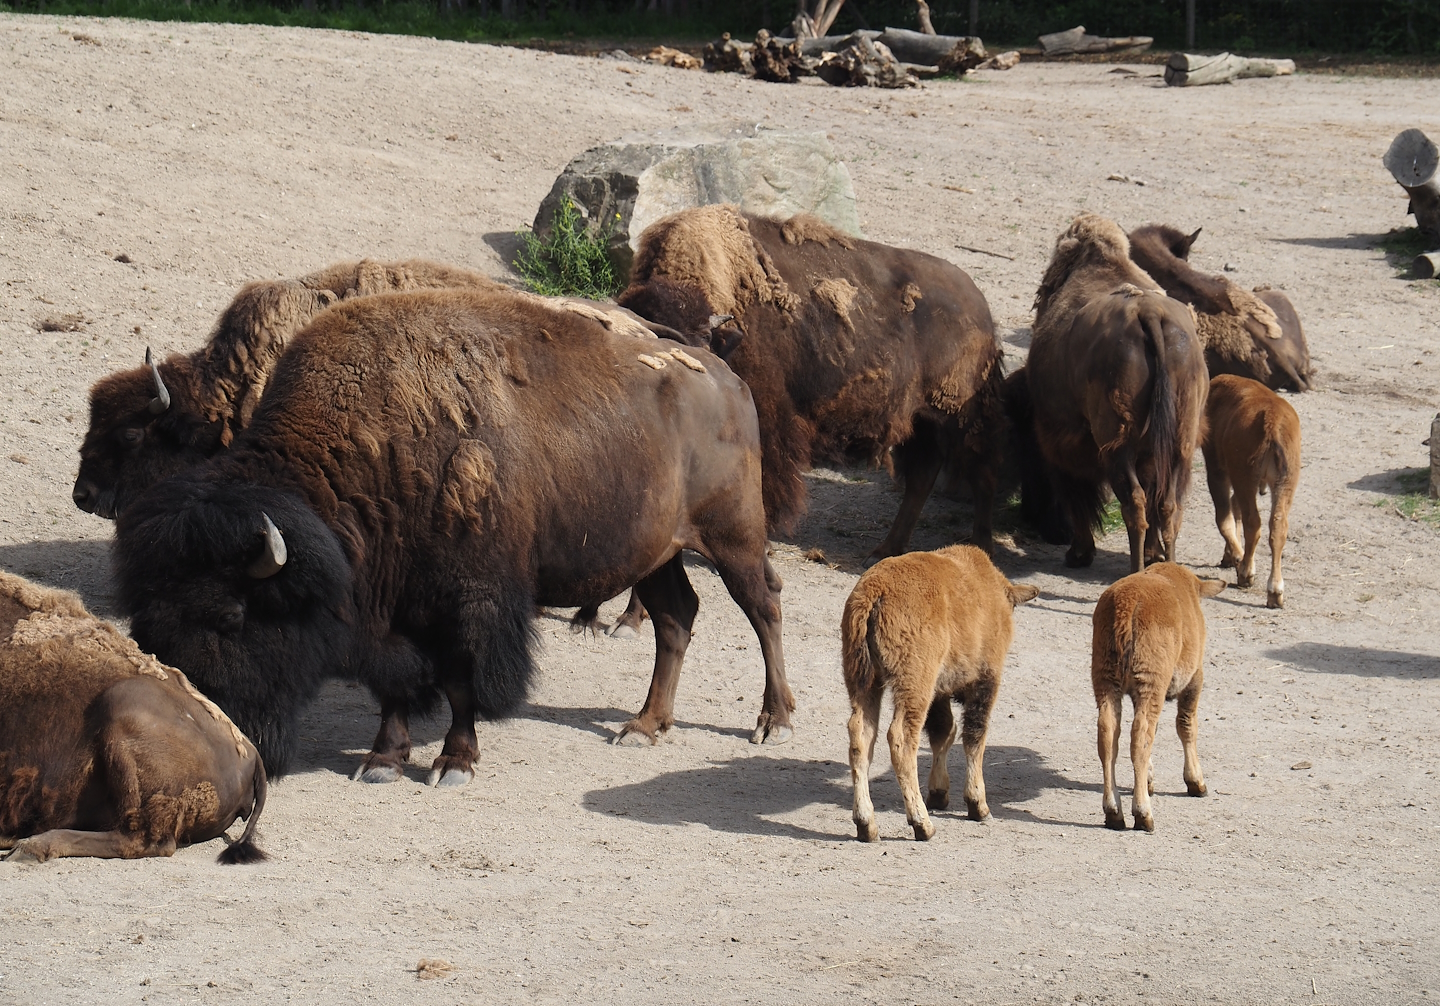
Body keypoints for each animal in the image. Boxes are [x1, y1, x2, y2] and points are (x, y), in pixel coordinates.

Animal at [114, 289, 790, 783]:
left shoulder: (470, 602)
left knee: (764, 608)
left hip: (731, 538)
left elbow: (463, 682)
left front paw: (454, 763)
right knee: (676, 618)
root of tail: (729, 380)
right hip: (656, 554)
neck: (372, 450)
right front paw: (382, 761)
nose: (207, 724)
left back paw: (772, 721)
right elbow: (393, 687)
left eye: (232, 616)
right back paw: (644, 726)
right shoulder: (387, 609)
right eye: (146, 617)